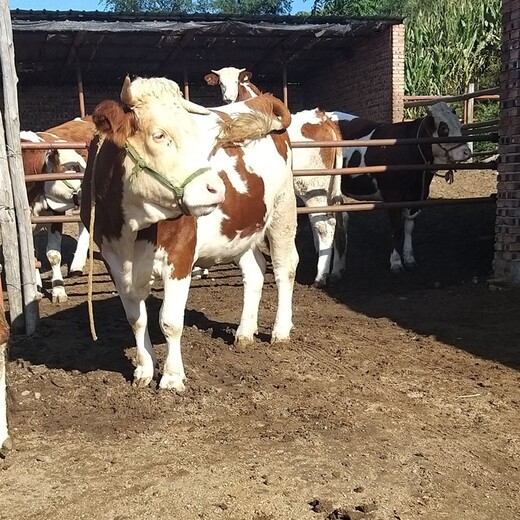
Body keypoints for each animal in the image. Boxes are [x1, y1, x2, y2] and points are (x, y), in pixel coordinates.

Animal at [81, 76, 298, 390]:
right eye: (159, 135)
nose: (216, 188)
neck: (132, 230)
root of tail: (262, 99)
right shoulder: (112, 259)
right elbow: (136, 319)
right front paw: (144, 370)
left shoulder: (180, 255)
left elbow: (170, 321)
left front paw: (172, 378)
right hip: (240, 231)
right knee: (256, 269)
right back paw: (245, 332)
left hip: (283, 210)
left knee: (284, 268)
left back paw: (280, 331)